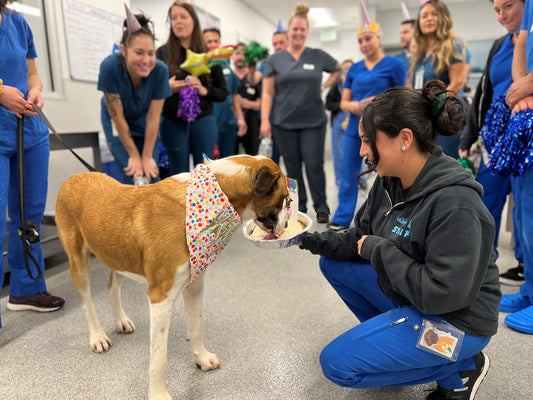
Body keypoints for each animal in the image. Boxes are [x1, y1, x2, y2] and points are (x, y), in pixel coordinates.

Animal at [55, 155, 286, 398]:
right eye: (284, 199)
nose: (287, 223)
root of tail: (73, 177)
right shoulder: (160, 298)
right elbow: (159, 358)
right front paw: (158, 394)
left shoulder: (194, 286)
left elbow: (196, 327)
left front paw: (202, 358)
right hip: (79, 260)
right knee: (87, 301)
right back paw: (97, 336)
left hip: (117, 256)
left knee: (112, 288)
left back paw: (120, 320)